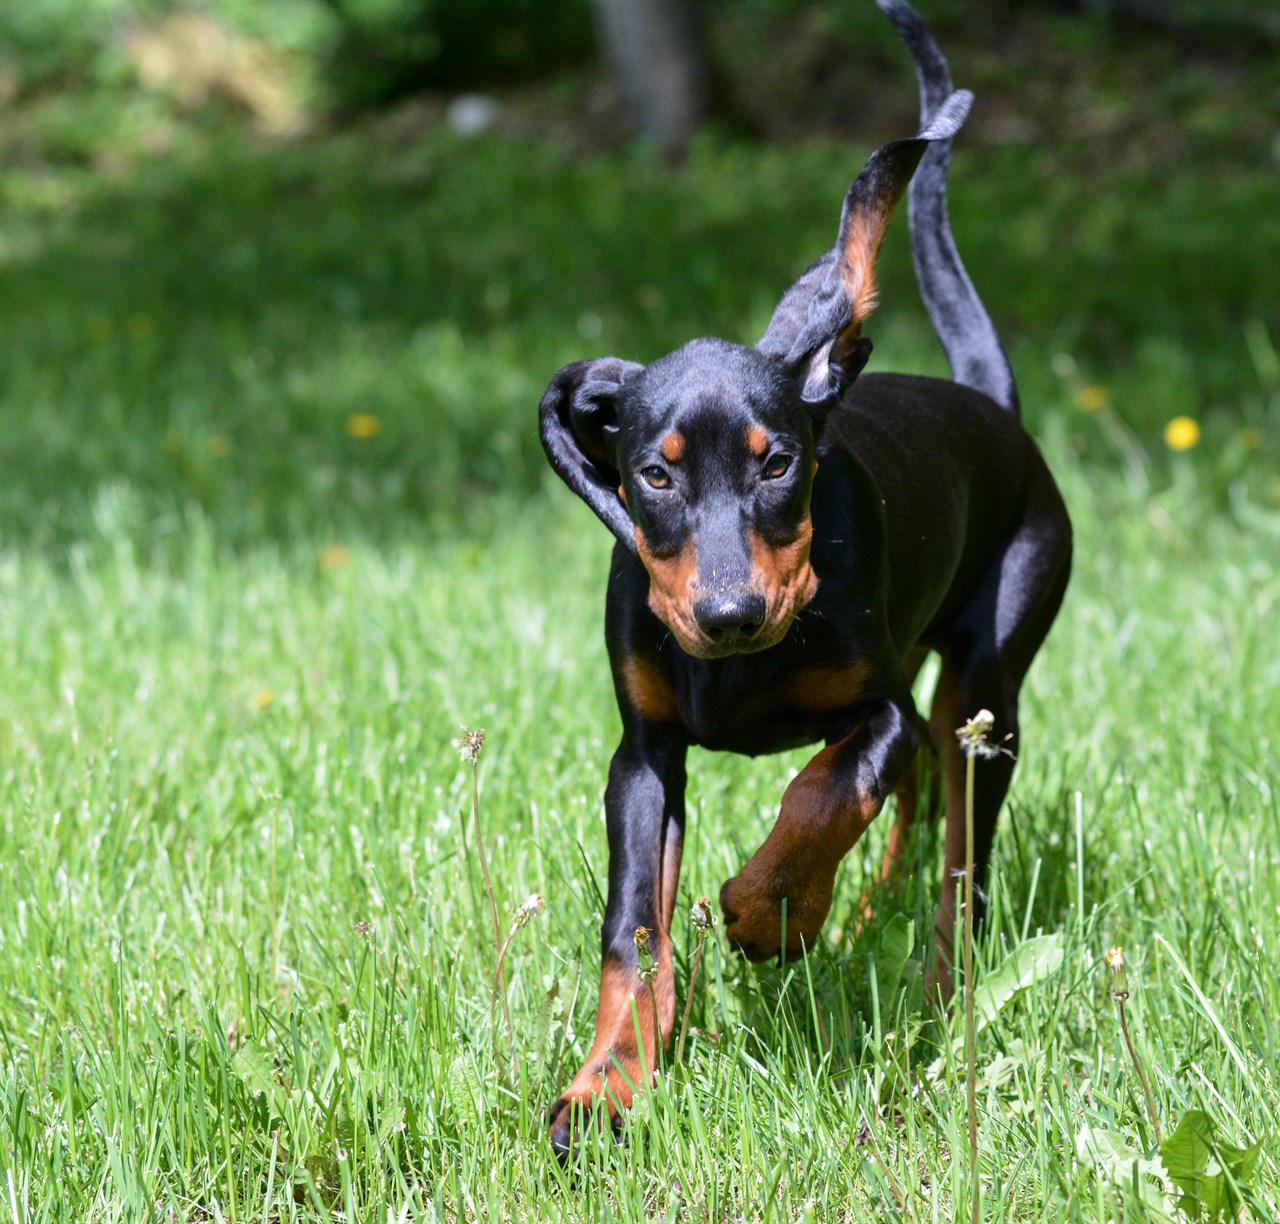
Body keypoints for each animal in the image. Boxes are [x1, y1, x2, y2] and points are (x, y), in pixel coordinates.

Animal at [537, 0, 1070, 1157]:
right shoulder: (644, 755)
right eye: (654, 474)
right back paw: (870, 918)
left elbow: (825, 789)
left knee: (957, 849)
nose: (731, 615)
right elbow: (631, 930)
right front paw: (607, 1087)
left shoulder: (875, 708)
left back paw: (928, 984)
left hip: (987, 686)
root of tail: (991, 405)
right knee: (922, 795)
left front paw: (768, 911)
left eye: (777, 461)